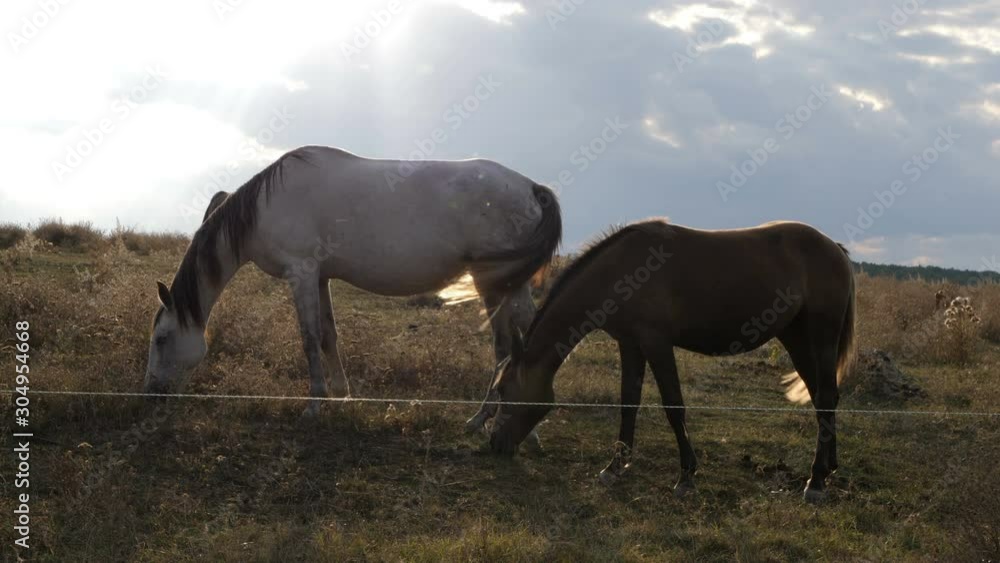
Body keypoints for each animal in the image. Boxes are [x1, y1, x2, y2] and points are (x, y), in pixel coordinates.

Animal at [144, 145, 562, 421]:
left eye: (161, 339)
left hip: (495, 281)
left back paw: (489, 419)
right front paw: (342, 397)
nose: (151, 394)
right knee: (523, 335)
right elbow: (329, 336)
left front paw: (315, 404)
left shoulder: (301, 274)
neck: (264, 208)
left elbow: (309, 338)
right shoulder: (321, 277)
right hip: (508, 284)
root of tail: (531, 187)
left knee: (512, 342)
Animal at [485, 219, 856, 502]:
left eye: (503, 390)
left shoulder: (656, 343)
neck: (620, 272)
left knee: (825, 397)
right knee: (824, 397)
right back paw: (830, 467)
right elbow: (629, 403)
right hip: (796, 338)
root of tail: (835, 248)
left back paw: (816, 481)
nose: (494, 445)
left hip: (821, 337)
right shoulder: (630, 345)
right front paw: (615, 466)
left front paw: (686, 476)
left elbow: (673, 405)